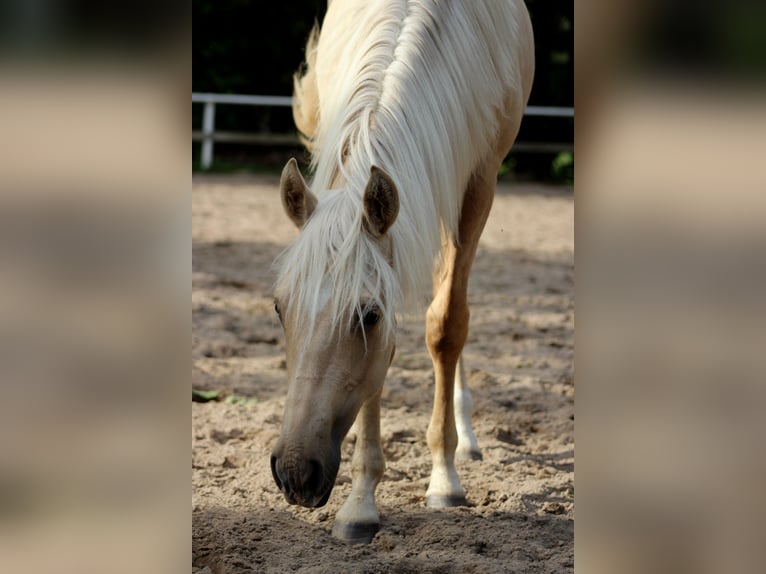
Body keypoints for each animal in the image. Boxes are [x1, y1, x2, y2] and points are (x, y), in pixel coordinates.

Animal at [270, 0, 536, 544]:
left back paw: (465, 437)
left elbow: (447, 325)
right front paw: (360, 503)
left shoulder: (478, 183)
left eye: (368, 316)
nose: (295, 473)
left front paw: (444, 478)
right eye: (279, 307)